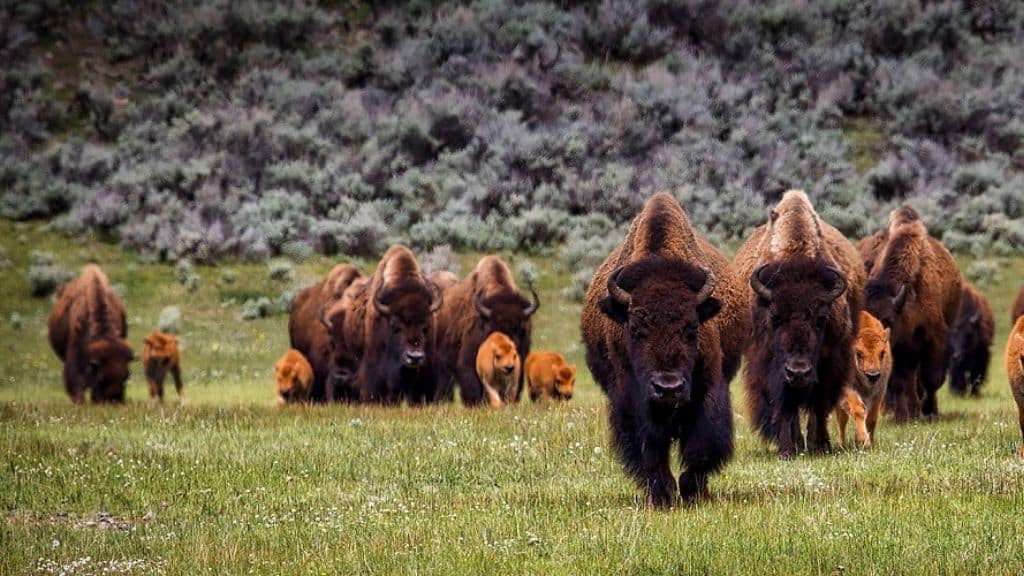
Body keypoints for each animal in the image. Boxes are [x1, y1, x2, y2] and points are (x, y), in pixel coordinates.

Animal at [581, 192, 747, 506]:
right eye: (635, 329)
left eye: (692, 328)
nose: (668, 388)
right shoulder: (631, 399)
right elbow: (650, 448)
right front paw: (662, 494)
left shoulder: (708, 389)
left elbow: (701, 445)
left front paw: (693, 491)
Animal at [735, 190, 865, 457]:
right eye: (775, 316)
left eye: (821, 319)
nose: (798, 372)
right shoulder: (769, 365)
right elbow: (785, 407)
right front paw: (787, 449)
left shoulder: (831, 361)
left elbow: (819, 405)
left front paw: (821, 445)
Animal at [859, 205, 962, 421]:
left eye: (888, 320)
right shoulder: (898, 352)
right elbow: (899, 383)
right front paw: (901, 417)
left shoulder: (935, 341)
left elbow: (931, 379)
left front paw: (930, 412)